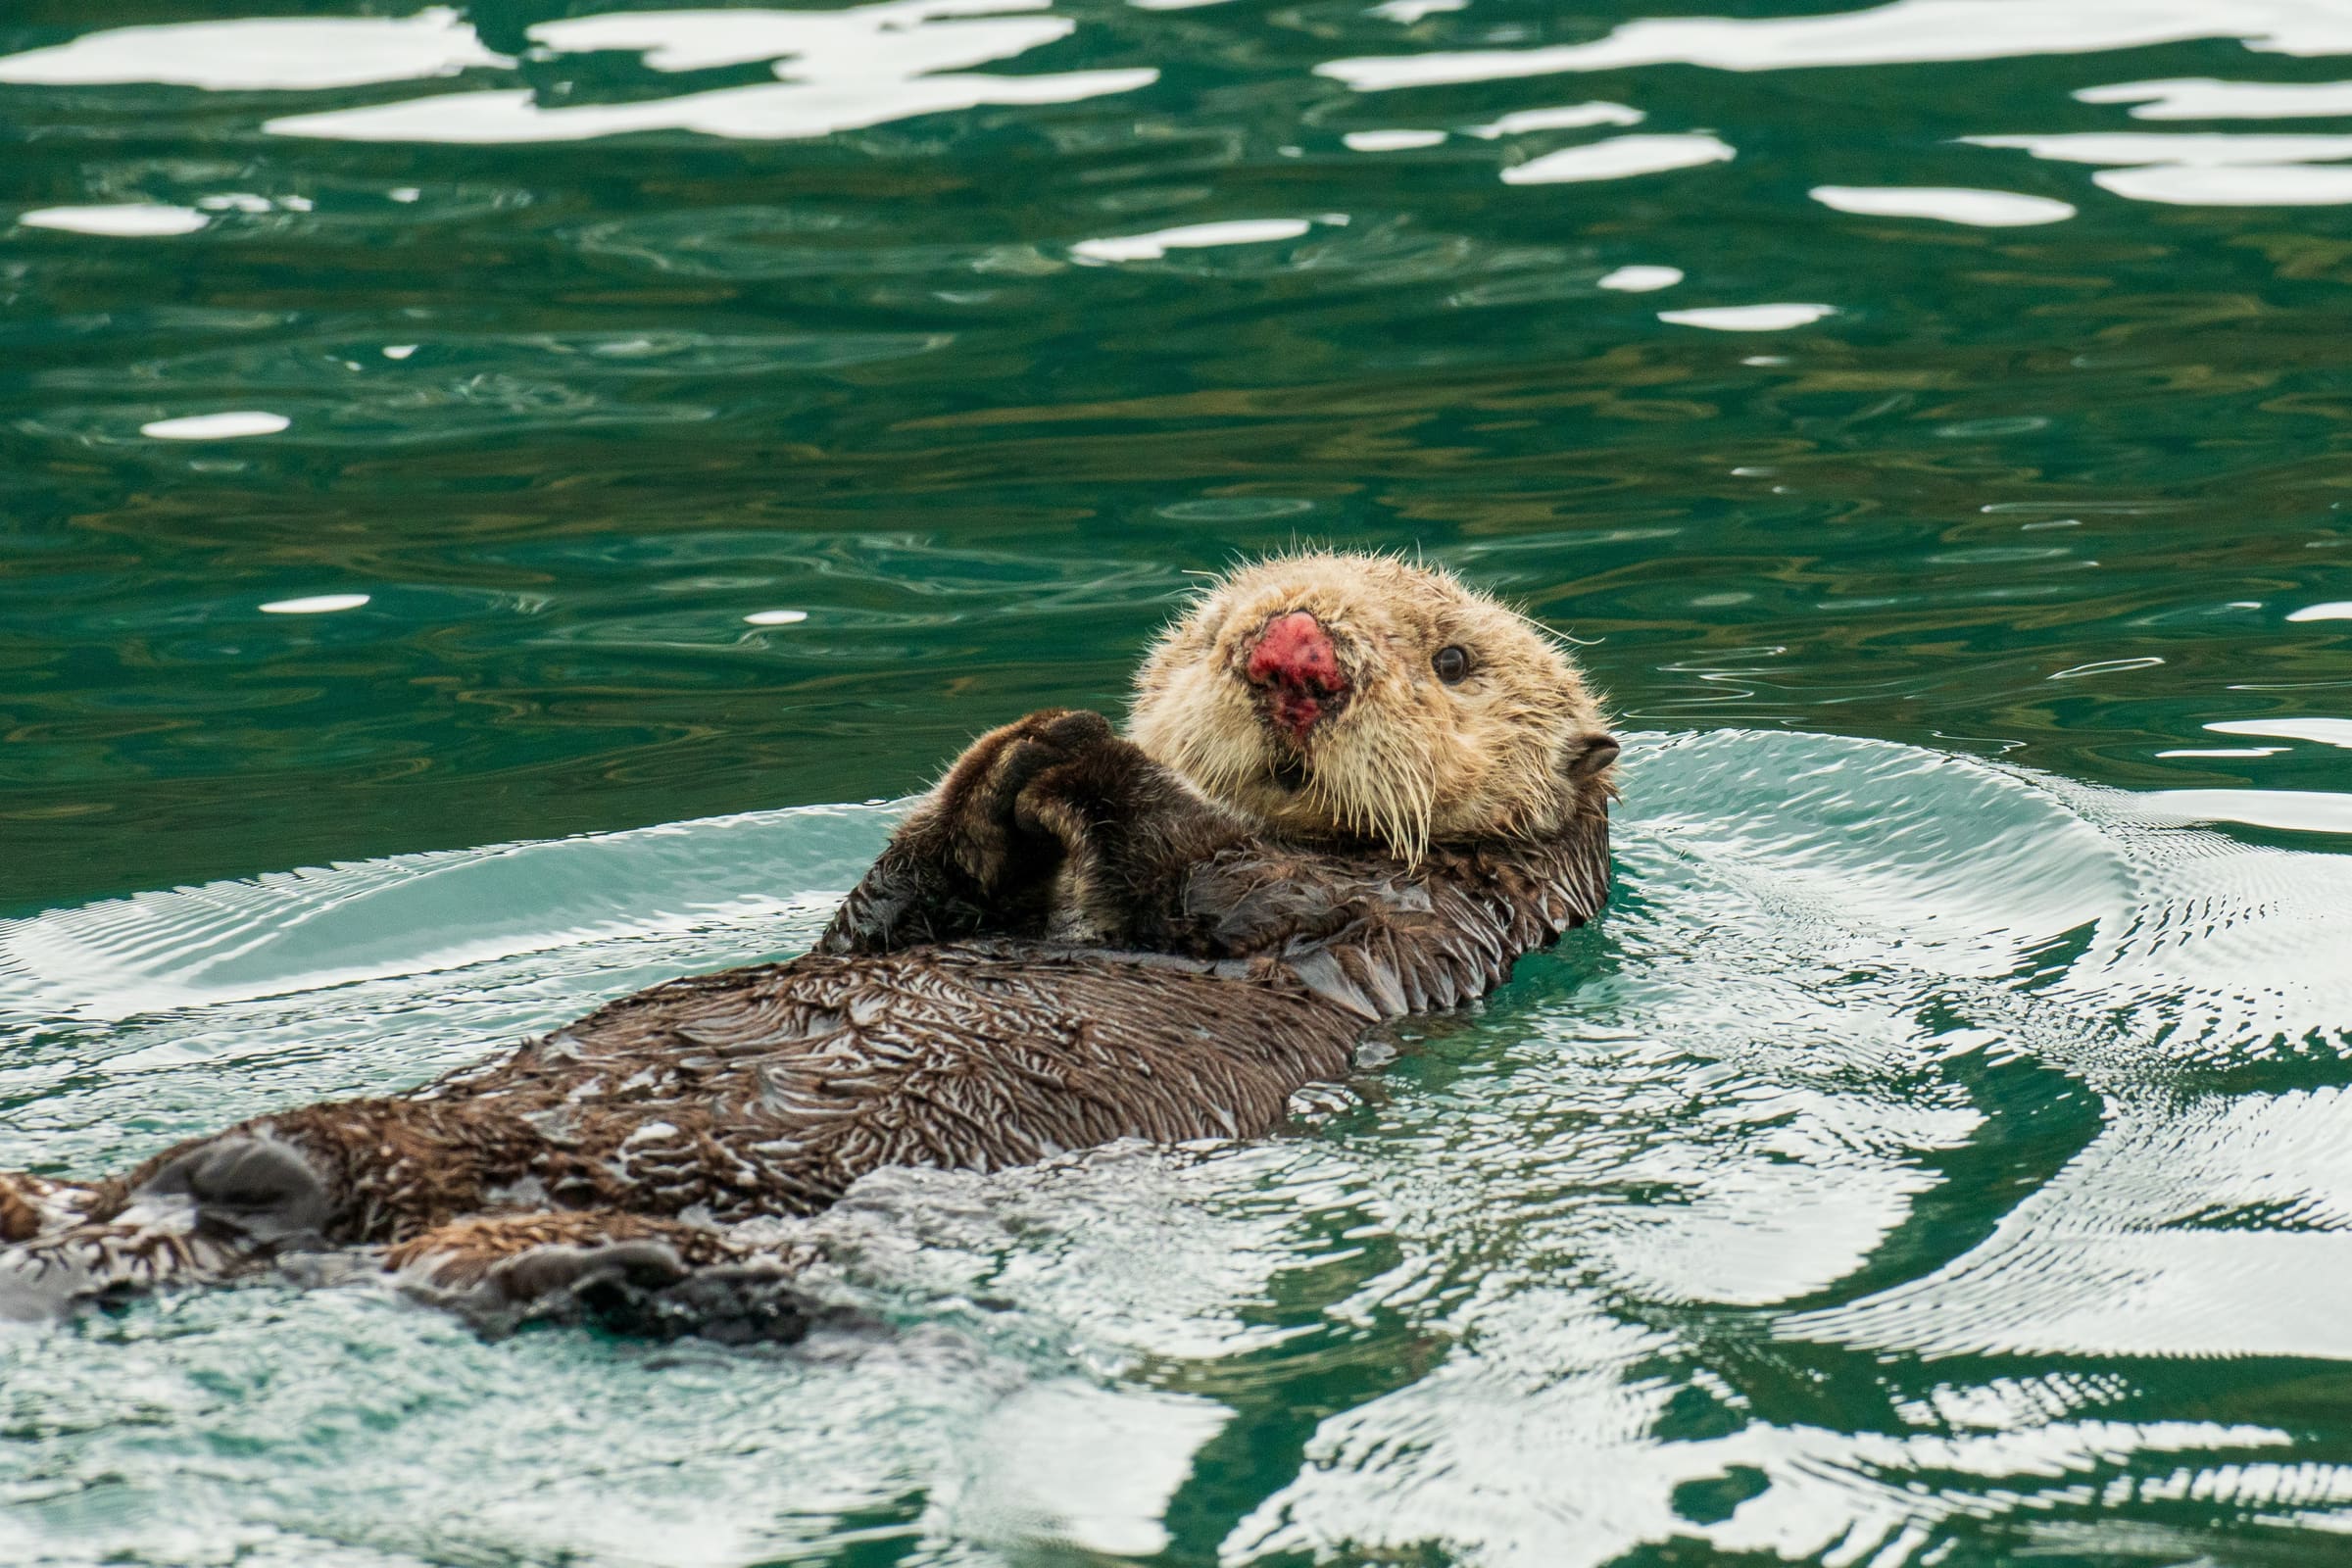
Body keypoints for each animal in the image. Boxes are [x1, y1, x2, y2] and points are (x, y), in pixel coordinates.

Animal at [0, 553, 1617, 1333]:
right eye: (1223, 619)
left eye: (1454, 659)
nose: (1293, 657)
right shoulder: (913, 918)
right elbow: (887, 917)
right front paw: (1007, 765)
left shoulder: (1399, 923)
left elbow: (1235, 879)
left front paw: (1076, 750)